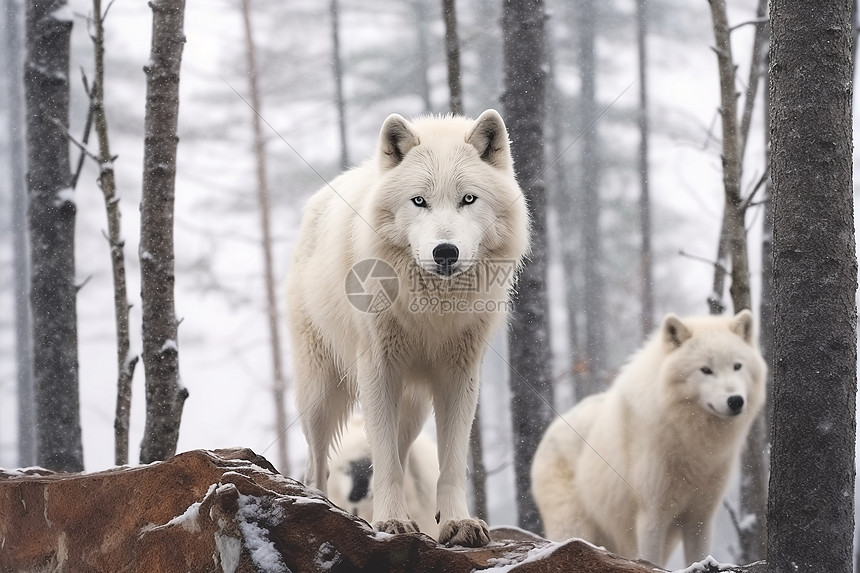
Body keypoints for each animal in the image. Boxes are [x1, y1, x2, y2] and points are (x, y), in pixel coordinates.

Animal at [288, 108, 528, 544]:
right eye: (419, 201)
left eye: (468, 199)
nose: (445, 251)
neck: (432, 307)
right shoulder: (377, 369)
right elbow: (383, 463)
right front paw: (390, 523)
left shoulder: (460, 374)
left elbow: (451, 463)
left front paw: (457, 523)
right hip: (319, 393)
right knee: (317, 465)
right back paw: (318, 503)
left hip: (412, 410)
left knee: (399, 454)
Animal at [532, 308, 764, 564]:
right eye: (706, 370)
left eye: (737, 366)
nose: (735, 401)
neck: (692, 443)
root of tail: (549, 431)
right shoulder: (652, 516)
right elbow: (651, 562)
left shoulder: (700, 518)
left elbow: (699, 556)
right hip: (575, 527)